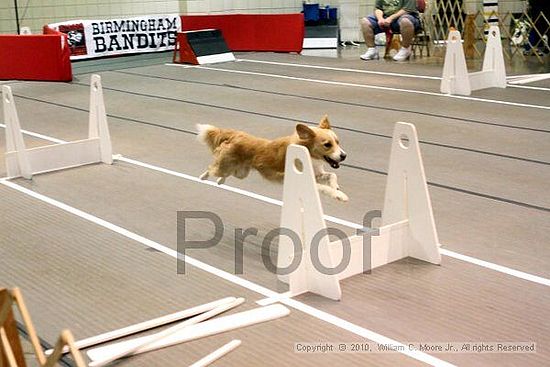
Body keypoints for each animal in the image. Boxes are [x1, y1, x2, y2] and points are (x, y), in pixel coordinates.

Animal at [198, 115, 350, 201]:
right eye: (327, 145)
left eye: (338, 142)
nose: (344, 156)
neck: (307, 154)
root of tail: (235, 135)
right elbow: (323, 187)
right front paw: (339, 195)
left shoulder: (317, 174)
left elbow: (332, 175)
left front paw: (336, 187)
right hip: (225, 166)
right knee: (212, 168)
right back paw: (203, 177)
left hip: (241, 172)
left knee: (228, 173)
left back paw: (220, 181)